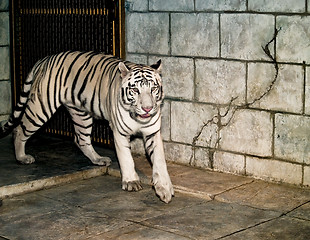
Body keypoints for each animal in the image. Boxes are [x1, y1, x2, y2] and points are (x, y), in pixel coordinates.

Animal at [0, 50, 174, 202]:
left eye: (153, 89)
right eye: (135, 90)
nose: (147, 108)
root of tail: (45, 59)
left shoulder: (152, 132)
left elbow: (159, 161)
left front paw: (164, 189)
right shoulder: (119, 132)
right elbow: (126, 158)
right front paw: (131, 181)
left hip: (81, 114)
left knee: (81, 140)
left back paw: (98, 159)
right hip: (41, 108)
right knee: (19, 130)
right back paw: (22, 157)